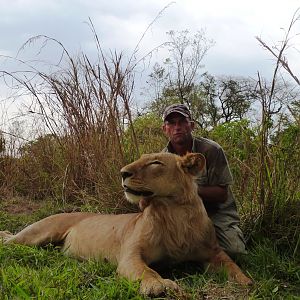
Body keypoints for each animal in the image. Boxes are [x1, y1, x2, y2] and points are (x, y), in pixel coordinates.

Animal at [1, 152, 252, 296]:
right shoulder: (130, 255)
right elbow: (145, 270)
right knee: (9, 239)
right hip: (35, 234)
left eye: (155, 163)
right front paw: (158, 286)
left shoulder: (213, 253)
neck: (174, 212)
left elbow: (233, 267)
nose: (122, 172)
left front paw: (248, 283)